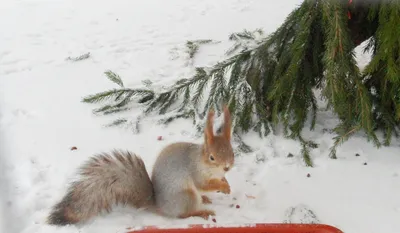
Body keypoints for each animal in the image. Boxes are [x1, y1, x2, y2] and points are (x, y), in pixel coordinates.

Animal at [47, 106, 234, 226]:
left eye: (232, 151)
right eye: (212, 157)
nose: (227, 167)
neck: (203, 162)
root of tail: (160, 205)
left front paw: (226, 184)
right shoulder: (195, 172)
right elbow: (203, 184)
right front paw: (222, 187)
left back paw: (205, 199)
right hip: (186, 196)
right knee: (182, 214)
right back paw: (201, 212)